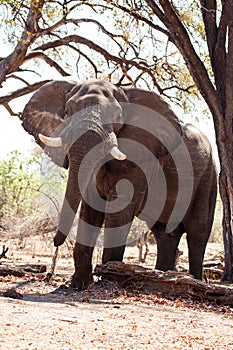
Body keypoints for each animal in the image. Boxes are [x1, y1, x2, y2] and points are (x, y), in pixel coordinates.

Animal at [20, 79, 218, 290]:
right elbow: (90, 208)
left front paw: (109, 278)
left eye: (116, 116)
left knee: (198, 233)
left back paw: (194, 282)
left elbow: (119, 210)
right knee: (164, 233)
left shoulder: (139, 159)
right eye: (68, 110)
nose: (55, 243)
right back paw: (162, 278)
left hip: (208, 177)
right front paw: (79, 284)